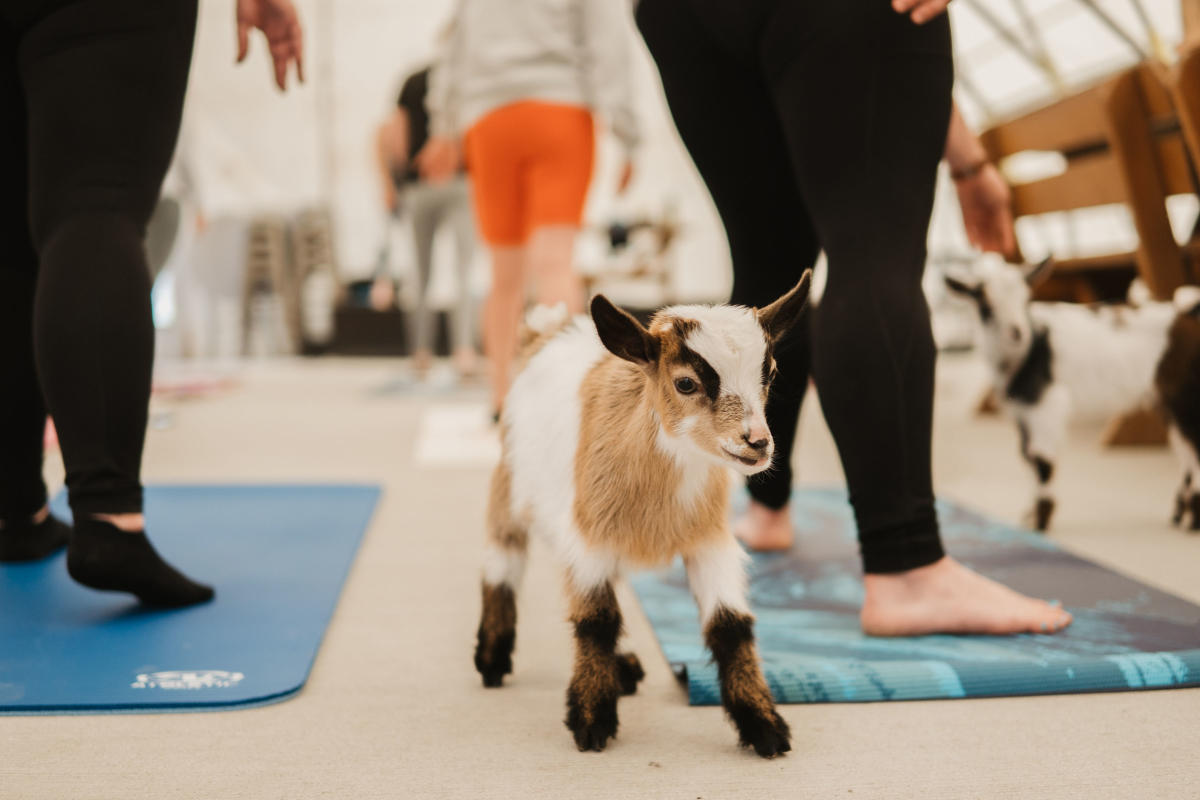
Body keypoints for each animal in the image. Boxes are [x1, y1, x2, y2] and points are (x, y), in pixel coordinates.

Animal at [472, 273, 811, 758]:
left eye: (772, 373)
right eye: (685, 384)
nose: (757, 443)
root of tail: (547, 331)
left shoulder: (709, 541)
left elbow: (730, 624)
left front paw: (764, 726)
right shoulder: (590, 537)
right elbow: (597, 620)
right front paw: (592, 720)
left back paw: (625, 667)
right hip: (510, 483)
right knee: (501, 559)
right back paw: (492, 659)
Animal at [945, 253, 1200, 532]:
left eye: (1025, 301)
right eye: (986, 306)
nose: (1016, 332)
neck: (1030, 348)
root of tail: (1187, 313)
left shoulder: (1045, 404)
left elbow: (1041, 459)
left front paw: (1041, 520)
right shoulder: (1023, 409)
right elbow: (1026, 455)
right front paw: (1032, 514)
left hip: (1184, 395)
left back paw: (1192, 519)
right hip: (1167, 402)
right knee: (1185, 451)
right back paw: (1181, 514)